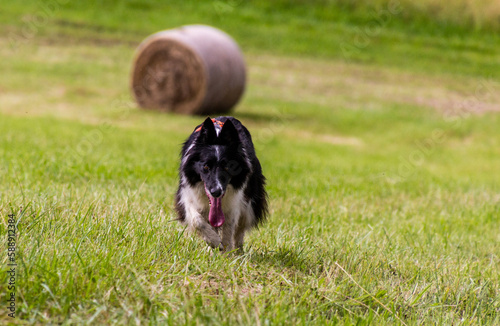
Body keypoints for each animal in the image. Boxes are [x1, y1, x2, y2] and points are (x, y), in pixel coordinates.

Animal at [175, 117, 268, 252]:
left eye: (227, 167)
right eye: (206, 166)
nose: (216, 192)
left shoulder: (234, 201)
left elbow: (228, 229)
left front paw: (226, 252)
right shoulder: (187, 194)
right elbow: (197, 220)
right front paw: (214, 242)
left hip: (250, 201)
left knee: (240, 230)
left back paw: (239, 252)